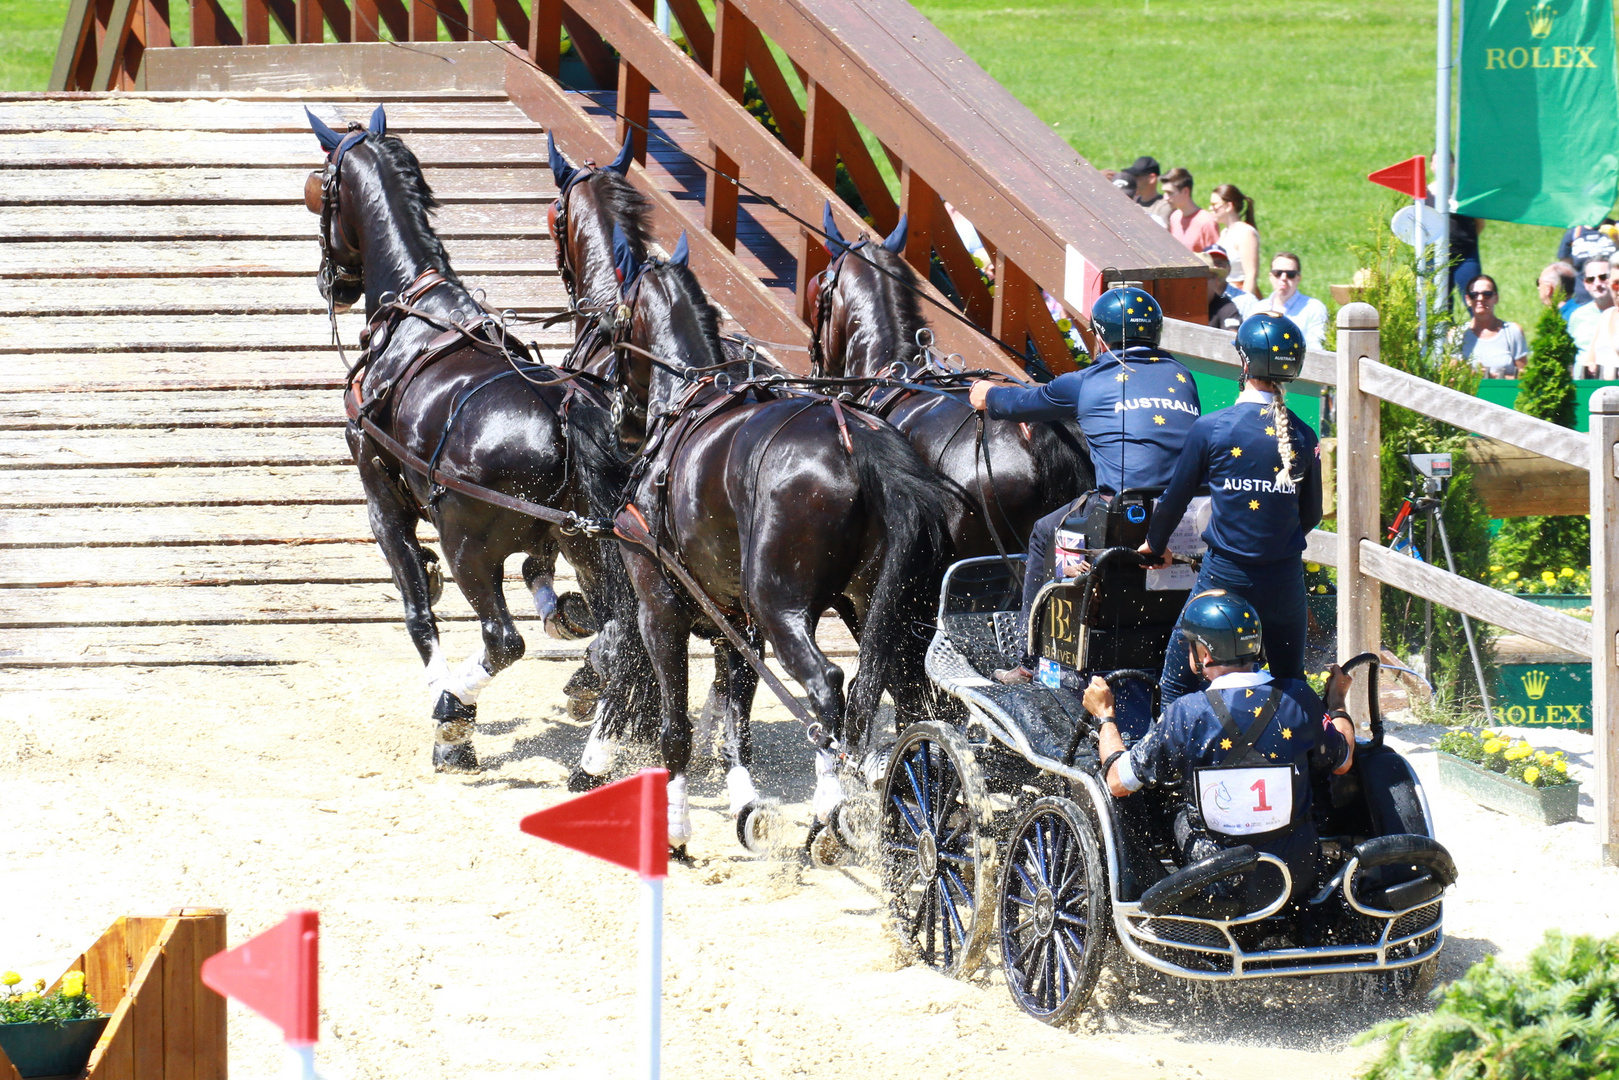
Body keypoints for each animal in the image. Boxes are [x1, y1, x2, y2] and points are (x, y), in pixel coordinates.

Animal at [301, 107, 654, 767]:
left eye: (320, 190)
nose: (329, 282)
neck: (414, 308)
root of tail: (567, 412)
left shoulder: (381, 496)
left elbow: (418, 610)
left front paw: (449, 710)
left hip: (470, 547)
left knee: (504, 640)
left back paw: (453, 712)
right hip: (592, 548)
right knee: (622, 640)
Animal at [602, 228, 945, 854]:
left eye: (615, 318)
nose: (619, 412)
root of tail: (852, 437)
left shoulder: (659, 608)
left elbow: (676, 726)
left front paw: (677, 827)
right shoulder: (736, 620)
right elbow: (735, 717)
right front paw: (745, 805)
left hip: (780, 605)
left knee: (828, 688)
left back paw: (830, 811)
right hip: (877, 608)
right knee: (897, 693)